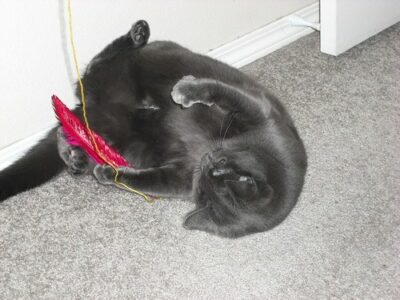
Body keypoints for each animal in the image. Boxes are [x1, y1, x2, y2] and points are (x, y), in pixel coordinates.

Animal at [0, 19, 308, 238]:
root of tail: (91, 106)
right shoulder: (258, 110)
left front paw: (109, 174)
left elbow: (148, 181)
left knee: (68, 132)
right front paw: (185, 91)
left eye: (209, 184)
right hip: (132, 64)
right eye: (222, 167)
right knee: (98, 62)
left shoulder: (181, 179)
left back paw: (77, 159)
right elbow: (217, 91)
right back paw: (138, 34)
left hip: (120, 136)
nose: (209, 159)